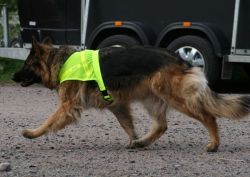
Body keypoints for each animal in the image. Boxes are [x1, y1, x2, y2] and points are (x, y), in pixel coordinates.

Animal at [12, 38, 250, 151]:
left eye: (26, 65)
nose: (13, 77)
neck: (59, 62)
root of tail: (178, 59)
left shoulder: (68, 106)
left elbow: (49, 121)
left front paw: (32, 133)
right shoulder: (118, 105)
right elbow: (127, 125)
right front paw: (134, 139)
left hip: (175, 97)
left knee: (209, 116)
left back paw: (214, 144)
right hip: (153, 99)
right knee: (161, 126)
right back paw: (142, 142)